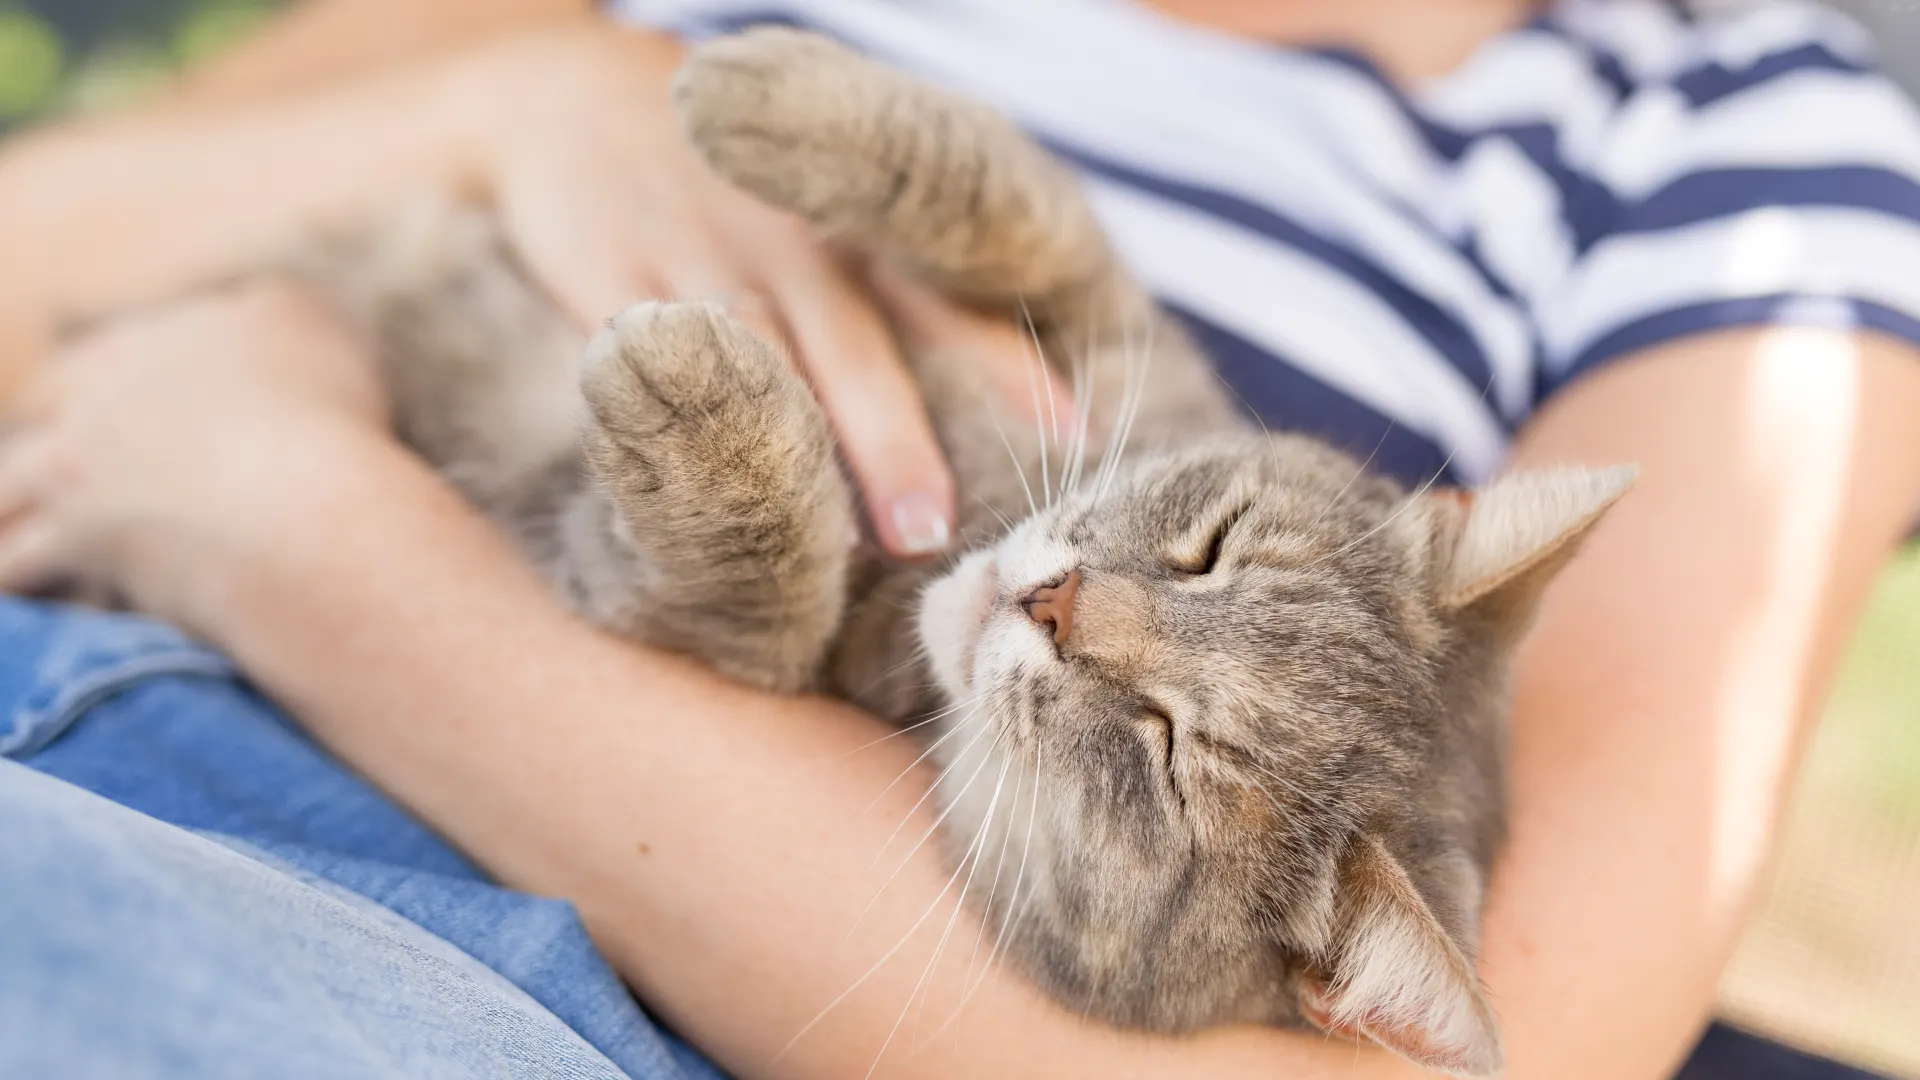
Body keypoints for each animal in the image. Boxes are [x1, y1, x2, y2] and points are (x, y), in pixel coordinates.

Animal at [284, 27, 1635, 1076]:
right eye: (1211, 546)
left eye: (1166, 756)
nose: (1052, 599)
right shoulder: (1113, 331)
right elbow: (1020, 201)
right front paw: (762, 91)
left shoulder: (698, 629)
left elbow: (751, 588)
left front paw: (702, 405)